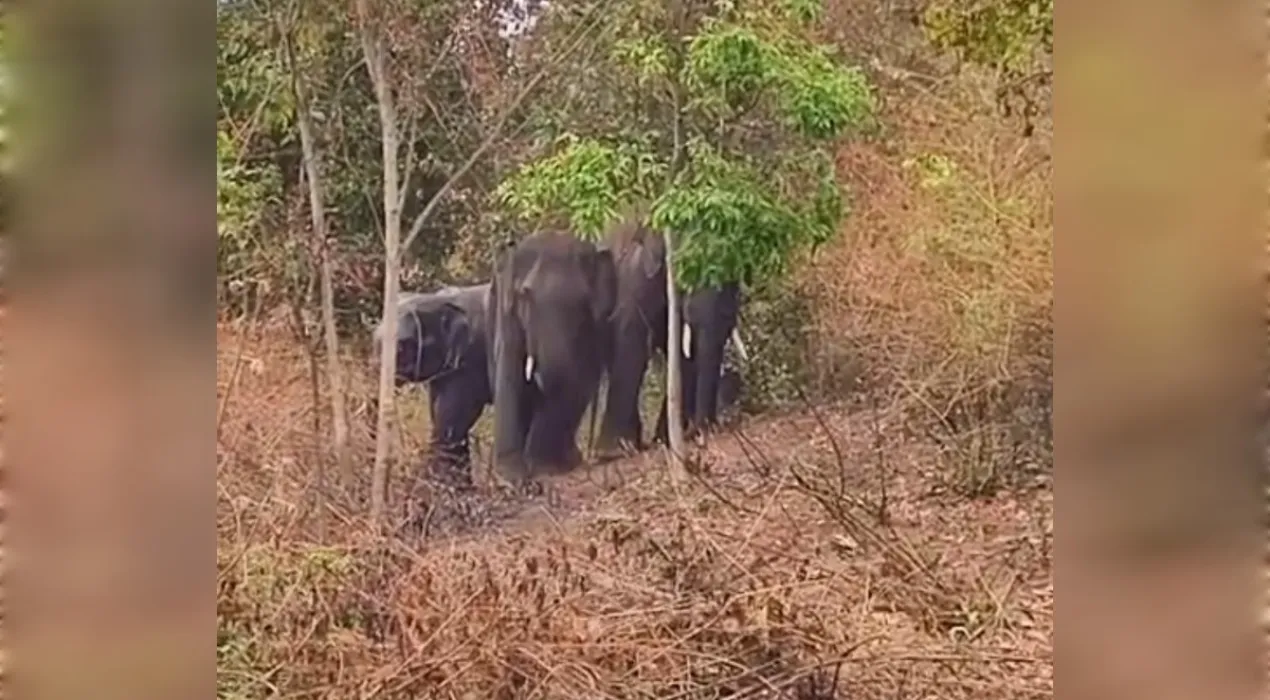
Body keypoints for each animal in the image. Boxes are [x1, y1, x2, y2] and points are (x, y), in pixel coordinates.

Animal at [488, 230, 617, 481]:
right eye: (525, 295)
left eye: (583, 302)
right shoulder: (506, 313)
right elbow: (508, 371)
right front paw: (510, 476)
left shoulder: (595, 328)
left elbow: (579, 380)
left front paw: (542, 468)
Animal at [593, 218, 748, 457]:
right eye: (686, 270)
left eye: (735, 276)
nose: (702, 431)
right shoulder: (634, 278)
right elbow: (633, 344)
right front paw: (612, 450)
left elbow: (683, 355)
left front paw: (666, 440)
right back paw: (626, 446)